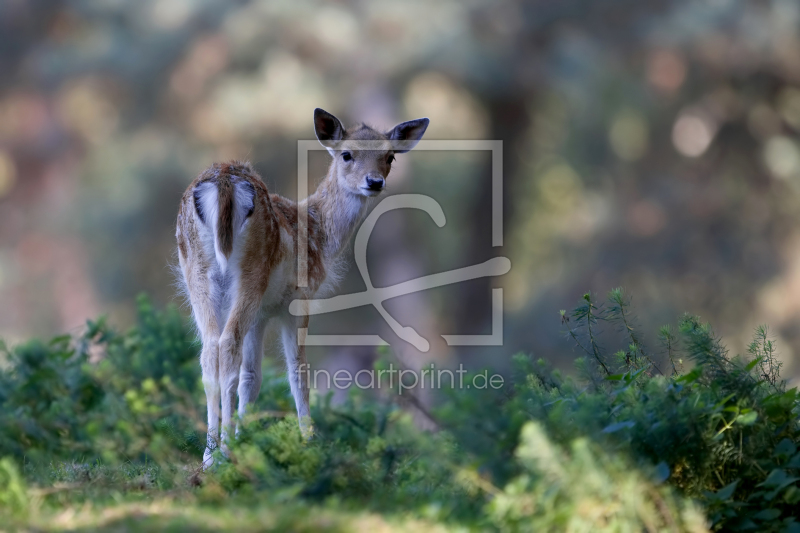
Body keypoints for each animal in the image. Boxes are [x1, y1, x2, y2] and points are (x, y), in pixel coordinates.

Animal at [173, 109, 428, 466]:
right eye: (347, 154)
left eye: (390, 156)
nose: (374, 182)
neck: (318, 234)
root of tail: (223, 183)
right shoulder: (296, 301)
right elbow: (299, 374)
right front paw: (308, 441)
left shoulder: (263, 313)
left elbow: (253, 378)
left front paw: (244, 437)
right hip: (251, 274)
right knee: (227, 345)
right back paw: (222, 454)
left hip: (196, 273)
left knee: (210, 352)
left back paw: (209, 456)